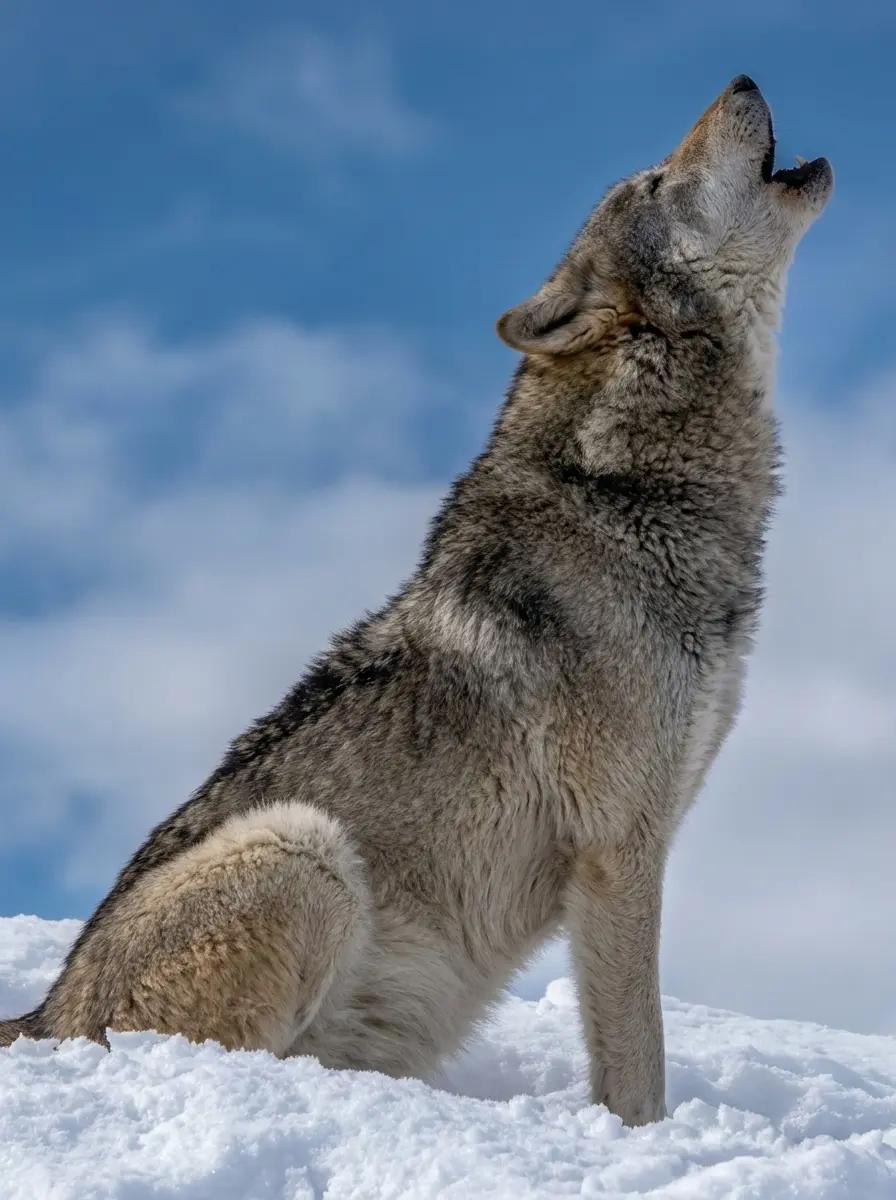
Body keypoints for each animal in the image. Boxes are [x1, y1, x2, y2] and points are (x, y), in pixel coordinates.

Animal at [1, 77, 831, 1125]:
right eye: (654, 180)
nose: (745, 81)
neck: (628, 492)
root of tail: (42, 1016)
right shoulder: (618, 851)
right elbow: (638, 1061)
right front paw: (643, 1140)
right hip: (302, 849)